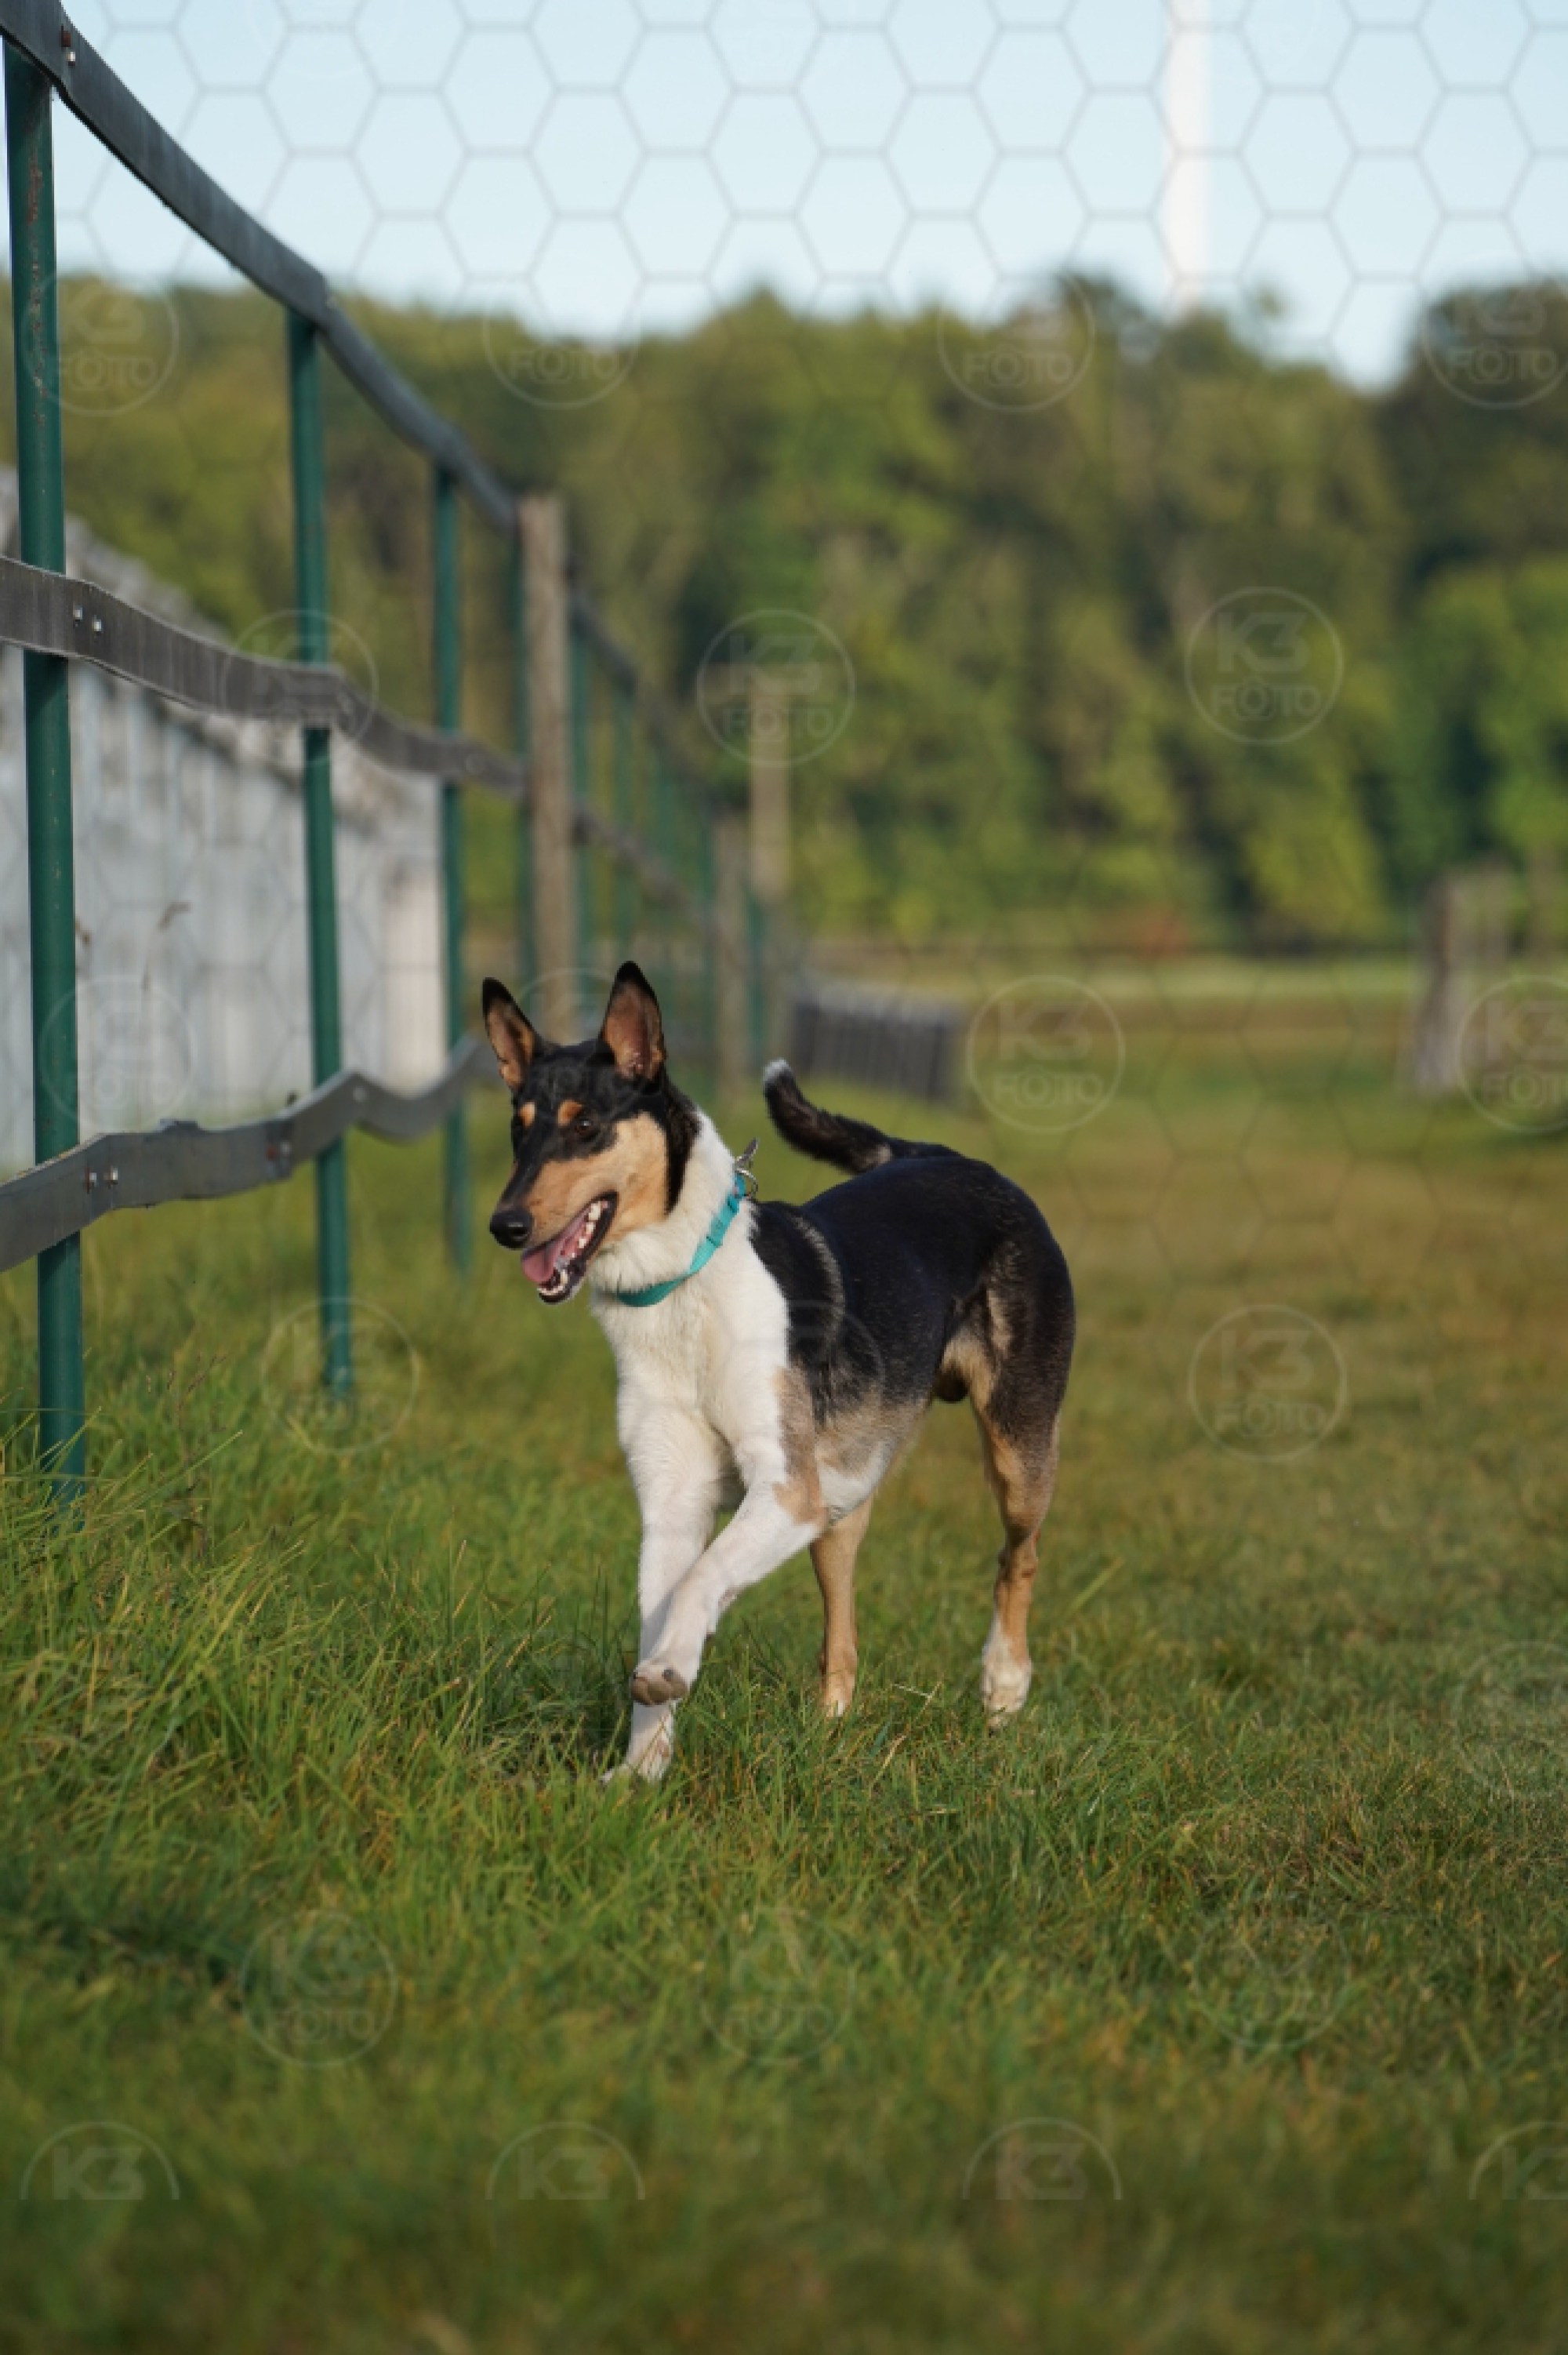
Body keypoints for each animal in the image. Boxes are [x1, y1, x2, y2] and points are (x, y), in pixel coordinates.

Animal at [483, 962, 1075, 1781]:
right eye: (519, 1125)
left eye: (585, 1125)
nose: (504, 1226)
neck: (683, 1287)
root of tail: (944, 1154)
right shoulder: (676, 1499)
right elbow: (666, 1608)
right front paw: (638, 1772)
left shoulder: (786, 1489)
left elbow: (701, 1583)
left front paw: (668, 1674)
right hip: (843, 1497)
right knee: (842, 1636)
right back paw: (830, 1730)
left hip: (1015, 1447)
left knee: (1021, 1556)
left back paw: (1003, 1687)